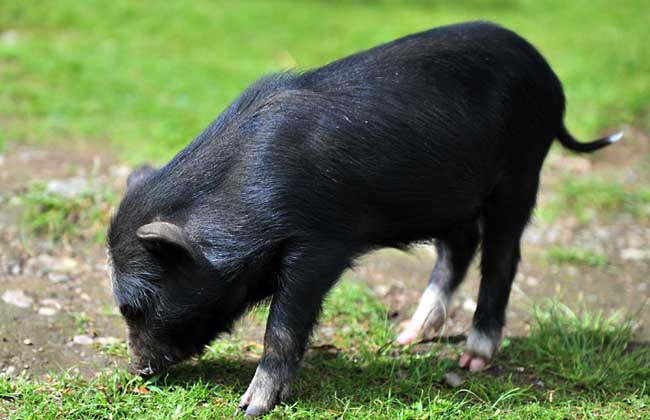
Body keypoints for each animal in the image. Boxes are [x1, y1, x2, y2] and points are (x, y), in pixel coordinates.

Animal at [106, 22, 616, 416]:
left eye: (133, 305)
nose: (136, 370)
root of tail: (547, 73)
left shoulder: (317, 244)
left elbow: (283, 326)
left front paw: (250, 407)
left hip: (521, 170)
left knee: (502, 257)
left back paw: (470, 360)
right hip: (450, 196)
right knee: (459, 249)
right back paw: (405, 338)